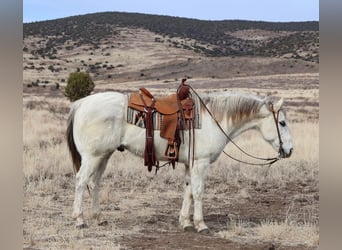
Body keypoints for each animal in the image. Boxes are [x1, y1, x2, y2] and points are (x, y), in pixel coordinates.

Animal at [67, 90, 294, 232]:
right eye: (282, 122)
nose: (290, 150)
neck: (214, 120)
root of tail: (81, 103)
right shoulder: (201, 164)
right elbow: (199, 192)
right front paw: (201, 225)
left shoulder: (189, 164)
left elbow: (189, 191)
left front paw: (185, 222)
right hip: (92, 156)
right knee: (81, 182)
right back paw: (79, 220)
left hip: (103, 156)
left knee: (94, 183)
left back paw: (98, 217)